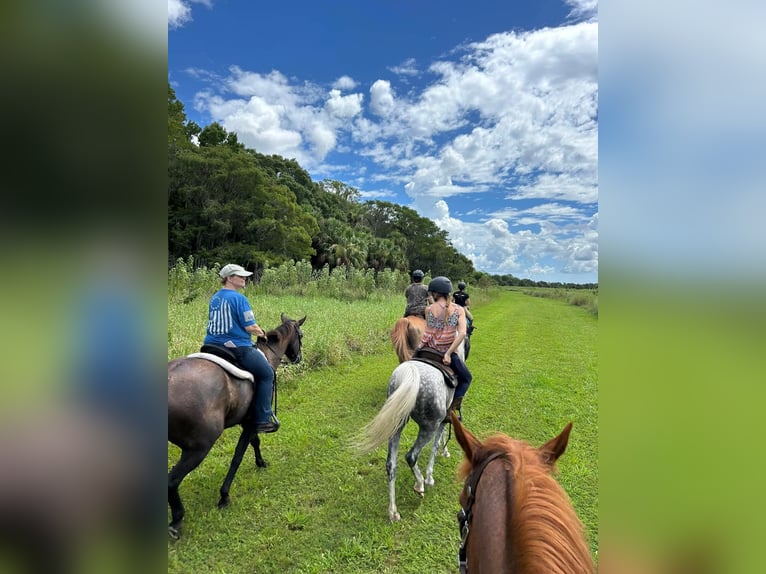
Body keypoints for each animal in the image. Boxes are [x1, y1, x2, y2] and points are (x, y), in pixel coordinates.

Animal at [167, 313, 306, 539]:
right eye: (300, 335)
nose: (298, 358)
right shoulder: (251, 422)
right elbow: (238, 456)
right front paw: (224, 496)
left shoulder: (246, 421)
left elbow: (255, 442)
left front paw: (260, 462)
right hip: (198, 448)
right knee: (171, 481)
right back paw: (176, 520)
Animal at [355, 360, 455, 522]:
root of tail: (410, 372)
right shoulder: (444, 417)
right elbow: (436, 443)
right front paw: (431, 475)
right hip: (428, 427)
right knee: (411, 456)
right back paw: (420, 485)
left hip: (396, 425)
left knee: (391, 465)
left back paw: (393, 512)